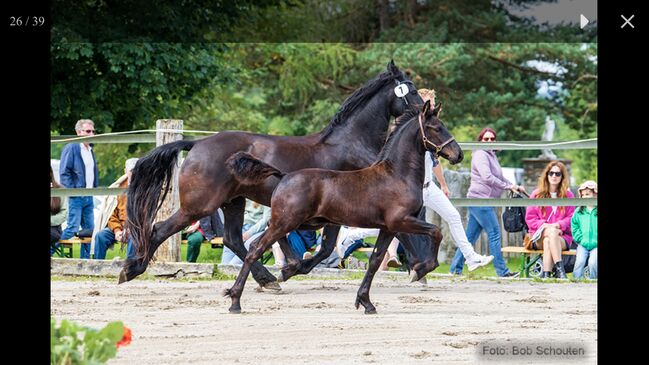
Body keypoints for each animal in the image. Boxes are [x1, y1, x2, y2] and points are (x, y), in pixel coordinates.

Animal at [120, 61, 436, 286]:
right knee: (161, 229)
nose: (426, 112)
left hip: (233, 202)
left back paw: (267, 279)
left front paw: (292, 268)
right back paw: (131, 269)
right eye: (411, 91)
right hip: (200, 205)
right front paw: (419, 267)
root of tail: (197, 144)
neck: (351, 142)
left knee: (234, 240)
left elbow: (325, 248)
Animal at [225, 100, 464, 312]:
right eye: (436, 128)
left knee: (256, 243)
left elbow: (375, 259)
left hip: (295, 223)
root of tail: (283, 176)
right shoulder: (401, 221)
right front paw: (419, 271)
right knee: (255, 249)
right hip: (287, 222)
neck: (397, 175)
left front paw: (365, 302)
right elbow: (436, 232)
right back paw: (237, 299)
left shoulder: (388, 227)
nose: (459, 154)